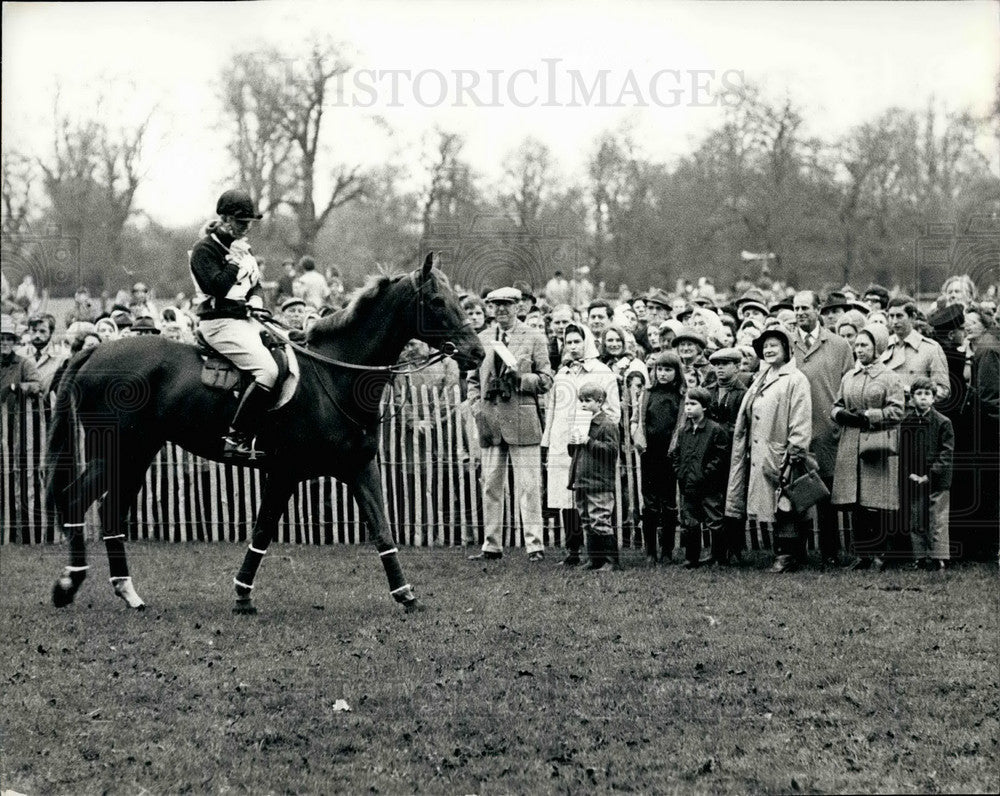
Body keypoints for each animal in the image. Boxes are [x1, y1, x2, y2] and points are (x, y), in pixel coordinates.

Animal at [47, 255, 484, 616]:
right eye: (437, 302)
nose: (477, 352)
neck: (334, 375)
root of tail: (93, 352)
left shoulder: (360, 468)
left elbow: (382, 529)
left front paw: (405, 594)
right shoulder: (285, 472)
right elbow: (262, 531)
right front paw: (242, 595)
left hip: (137, 454)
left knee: (109, 511)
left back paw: (126, 591)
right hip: (114, 452)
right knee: (76, 499)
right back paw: (69, 582)